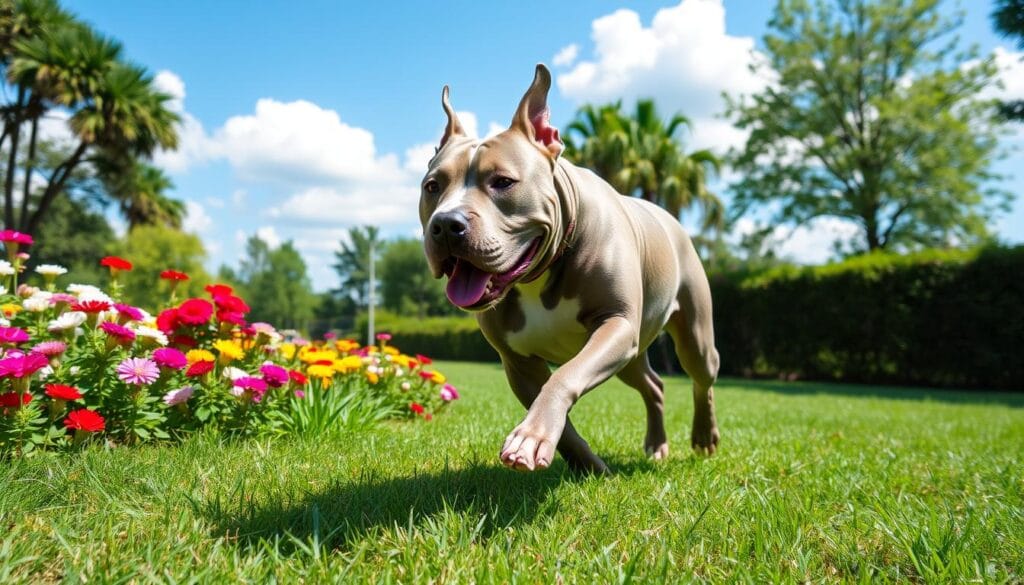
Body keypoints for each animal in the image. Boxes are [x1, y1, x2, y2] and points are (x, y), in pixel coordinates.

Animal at [417, 65, 720, 475]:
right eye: (432, 186)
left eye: (503, 182)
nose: (446, 225)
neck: (539, 274)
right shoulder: (518, 363)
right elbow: (562, 424)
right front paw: (586, 465)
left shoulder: (614, 326)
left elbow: (564, 376)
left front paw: (531, 438)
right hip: (632, 352)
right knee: (653, 385)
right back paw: (657, 444)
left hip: (689, 335)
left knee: (703, 376)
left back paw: (704, 435)